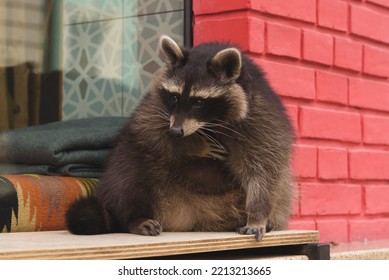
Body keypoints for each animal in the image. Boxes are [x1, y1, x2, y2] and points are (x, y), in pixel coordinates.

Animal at [65, 35, 292, 241]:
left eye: (199, 102)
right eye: (174, 97)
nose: (176, 132)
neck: (211, 121)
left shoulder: (260, 116)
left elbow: (265, 168)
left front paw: (257, 214)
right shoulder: (156, 104)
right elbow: (150, 132)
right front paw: (191, 145)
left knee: (282, 189)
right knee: (128, 174)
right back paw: (135, 217)